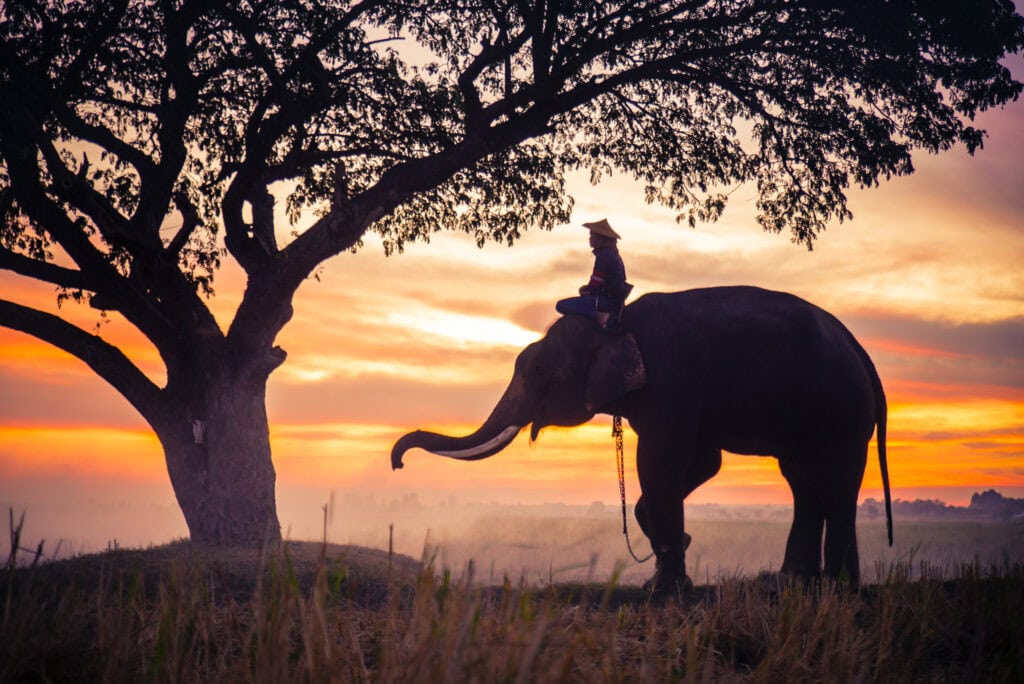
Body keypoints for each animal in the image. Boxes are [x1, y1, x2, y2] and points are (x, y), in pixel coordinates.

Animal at [391, 286, 892, 592]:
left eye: (538, 373)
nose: (397, 462)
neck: (615, 319)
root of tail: (861, 351)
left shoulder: (671, 380)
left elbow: (660, 459)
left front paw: (664, 585)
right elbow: (700, 461)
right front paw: (673, 551)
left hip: (841, 411)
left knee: (835, 484)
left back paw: (837, 589)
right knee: (803, 482)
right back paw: (792, 583)